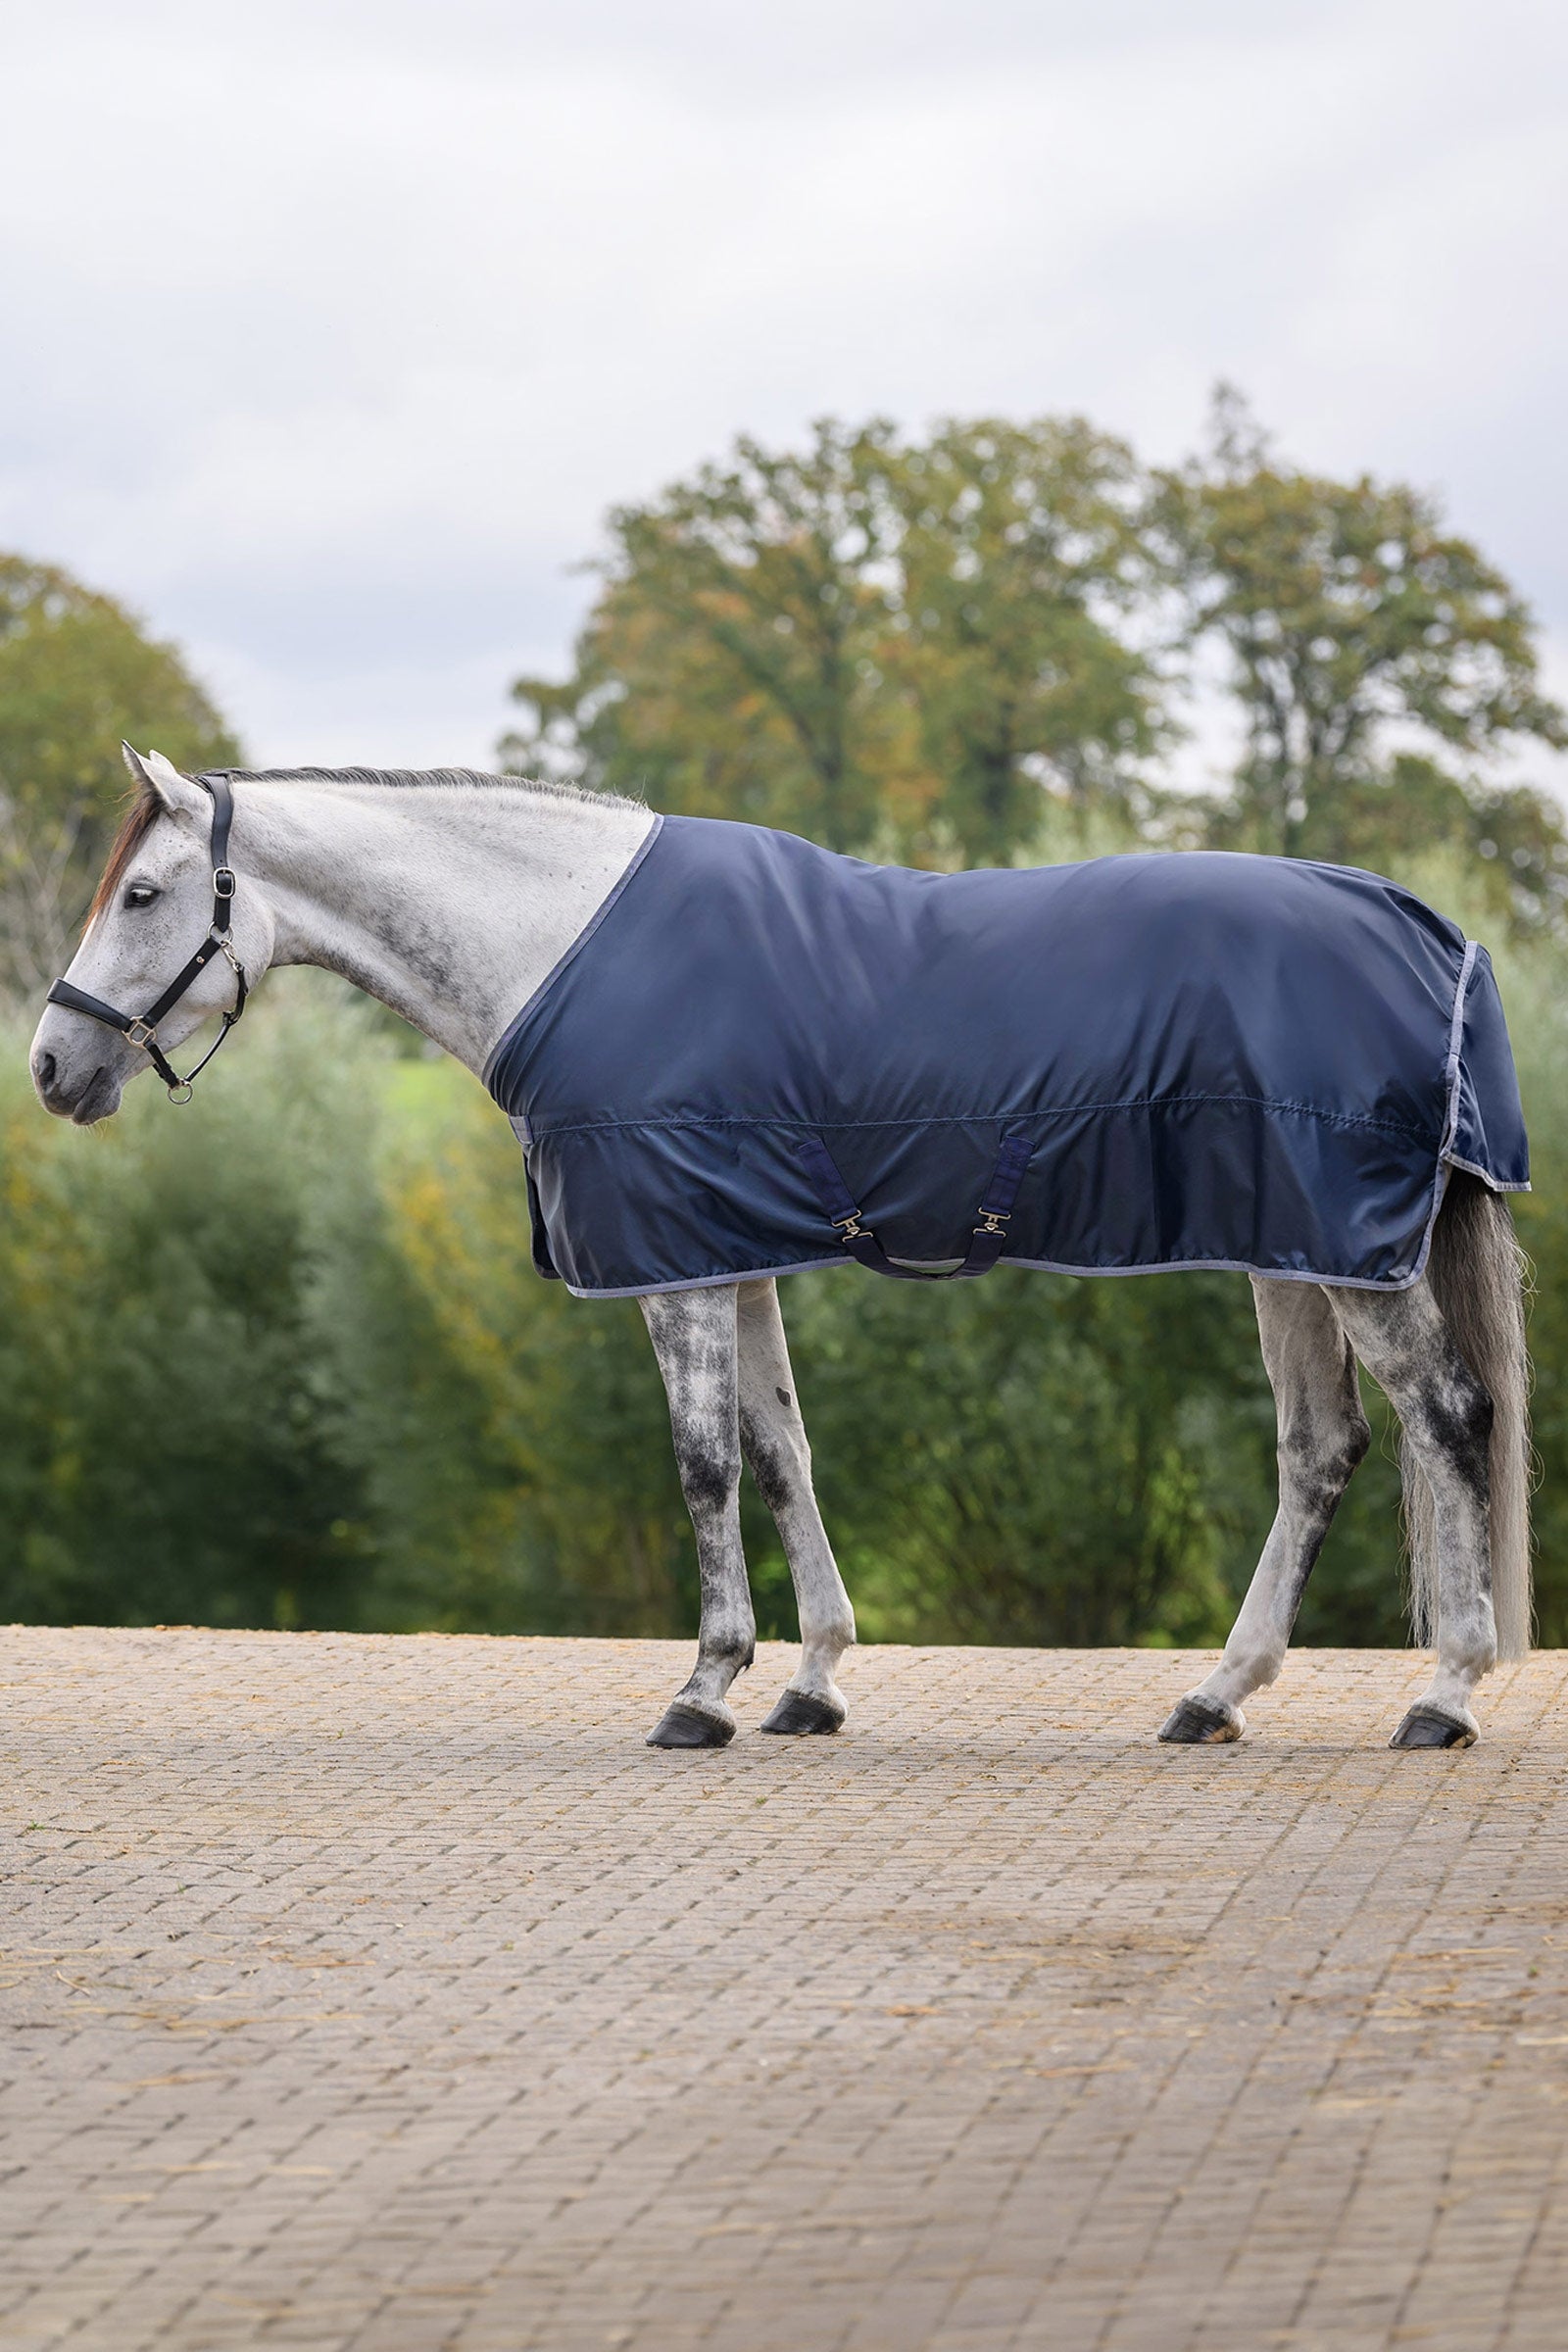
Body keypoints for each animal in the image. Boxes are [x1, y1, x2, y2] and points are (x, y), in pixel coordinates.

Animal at [30, 748, 1532, 1752]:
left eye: (146, 893)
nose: (51, 1066)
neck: (559, 940)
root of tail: (1435, 931)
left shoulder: (679, 1263)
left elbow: (701, 1462)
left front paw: (704, 1689)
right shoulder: (730, 1247)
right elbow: (779, 1449)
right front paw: (810, 1683)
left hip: (1346, 1253)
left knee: (1449, 1415)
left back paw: (1441, 1696)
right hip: (1295, 1250)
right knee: (1323, 1449)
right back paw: (1214, 1696)